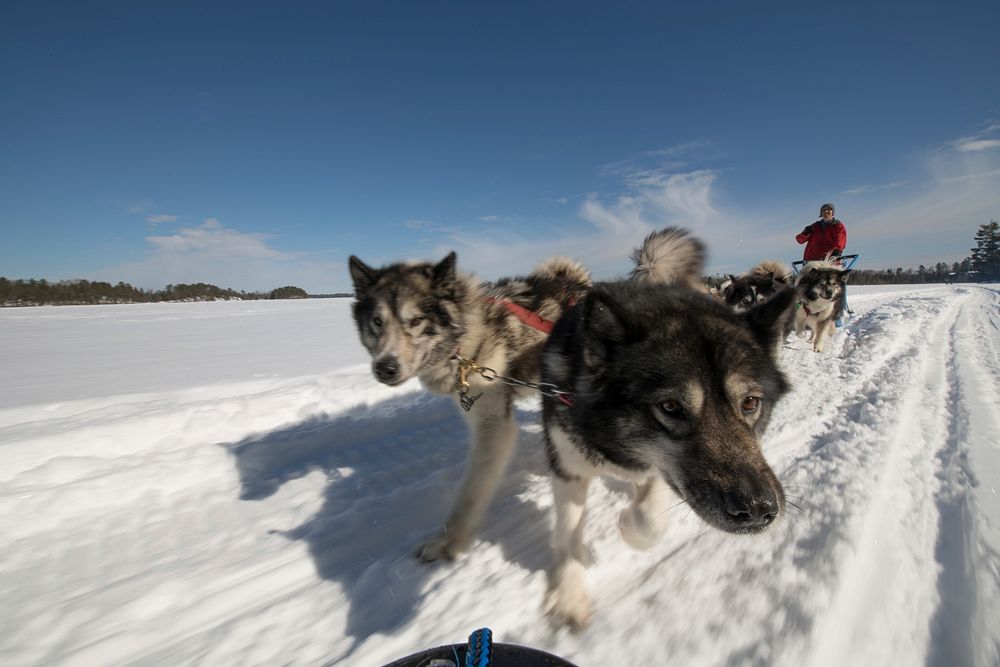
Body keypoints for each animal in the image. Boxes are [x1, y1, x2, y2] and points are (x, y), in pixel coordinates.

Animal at [348, 253, 588, 560]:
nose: (385, 368)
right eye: (377, 321)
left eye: (416, 320)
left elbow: (471, 494)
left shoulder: (493, 425)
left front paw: (449, 541)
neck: (464, 341)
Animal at [540, 228, 796, 628]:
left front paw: (628, 525)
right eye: (670, 407)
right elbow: (568, 532)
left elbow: (651, 519)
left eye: (750, 403)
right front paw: (569, 595)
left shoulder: (659, 471)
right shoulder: (568, 466)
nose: (758, 510)